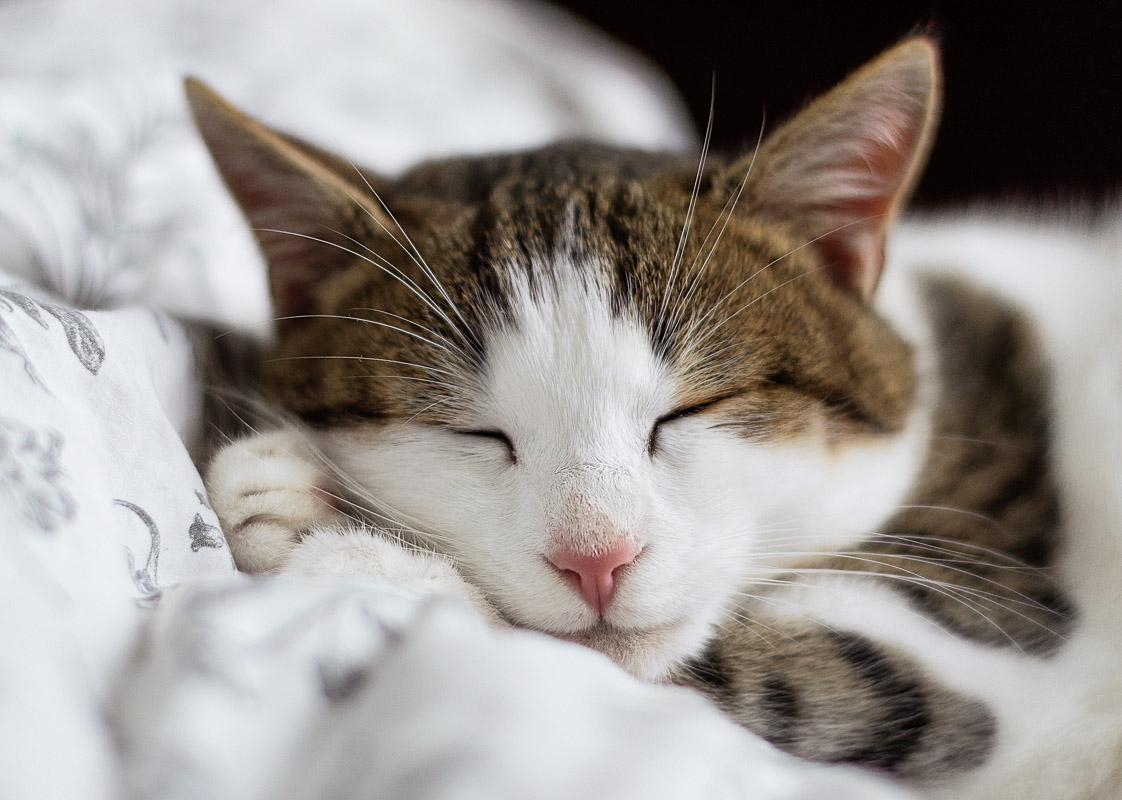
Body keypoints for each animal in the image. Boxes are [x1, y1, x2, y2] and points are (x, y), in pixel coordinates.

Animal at [190, 38, 1122, 798]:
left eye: (690, 411)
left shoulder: (1004, 642)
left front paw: (361, 555)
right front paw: (291, 489)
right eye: (472, 431)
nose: (596, 560)